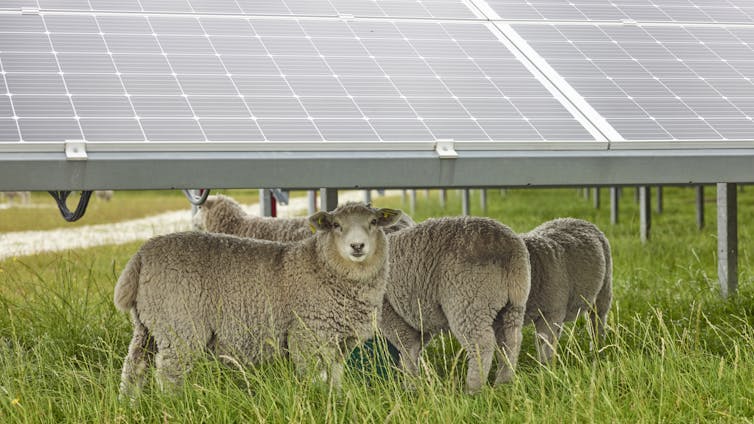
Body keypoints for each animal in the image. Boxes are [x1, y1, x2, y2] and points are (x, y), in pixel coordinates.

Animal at [114, 202, 403, 397]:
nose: (357, 246)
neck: (321, 266)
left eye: (374, 223)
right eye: (336, 226)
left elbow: (335, 378)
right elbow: (314, 378)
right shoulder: (306, 335)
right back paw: (173, 404)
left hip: (148, 324)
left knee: (134, 366)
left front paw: (337, 401)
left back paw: (129, 403)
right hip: (180, 325)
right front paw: (318, 402)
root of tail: (141, 254)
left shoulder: (340, 341)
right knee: (168, 373)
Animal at [380, 217, 531, 394]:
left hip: (468, 301)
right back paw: (504, 383)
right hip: (513, 305)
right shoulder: (421, 317)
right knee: (511, 340)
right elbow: (417, 346)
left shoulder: (388, 311)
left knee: (482, 344)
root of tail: (511, 251)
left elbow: (407, 346)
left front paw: (410, 385)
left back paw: (472, 390)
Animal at [521, 218, 612, 364]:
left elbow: (545, 343)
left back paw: (597, 349)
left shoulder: (551, 313)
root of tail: (575, 219)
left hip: (603, 289)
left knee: (597, 320)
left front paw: (546, 367)